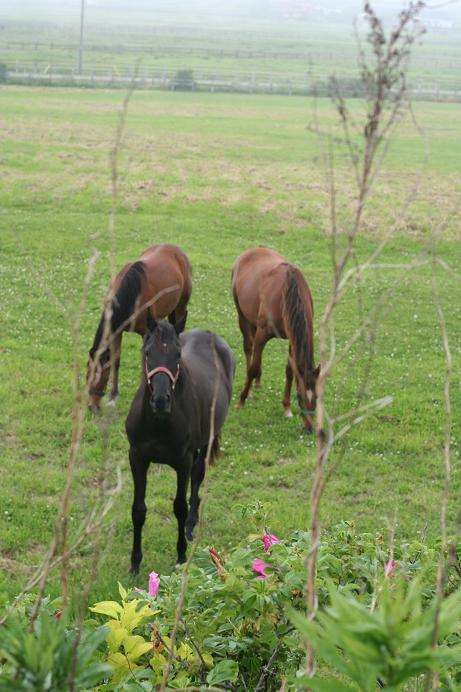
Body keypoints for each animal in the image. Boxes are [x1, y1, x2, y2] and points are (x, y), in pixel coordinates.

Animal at [87, 243, 191, 410]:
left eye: (101, 376)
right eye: (87, 373)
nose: (92, 406)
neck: (132, 293)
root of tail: (177, 250)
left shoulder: (145, 333)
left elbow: (145, 361)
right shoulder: (117, 331)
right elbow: (116, 360)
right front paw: (113, 396)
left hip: (181, 307)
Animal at [125, 316, 234, 572]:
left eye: (177, 354)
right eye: (147, 352)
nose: (160, 401)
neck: (159, 423)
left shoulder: (182, 462)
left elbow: (179, 507)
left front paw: (181, 555)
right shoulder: (137, 458)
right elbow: (138, 509)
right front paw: (135, 562)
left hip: (205, 442)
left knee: (198, 475)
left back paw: (192, 525)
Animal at [232, 247, 318, 432]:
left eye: (316, 398)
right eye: (300, 397)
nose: (310, 428)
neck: (287, 293)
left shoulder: (292, 340)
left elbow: (290, 371)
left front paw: (286, 408)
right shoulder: (262, 334)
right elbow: (253, 367)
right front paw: (241, 401)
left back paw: (257, 383)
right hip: (242, 316)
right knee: (249, 348)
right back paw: (249, 390)